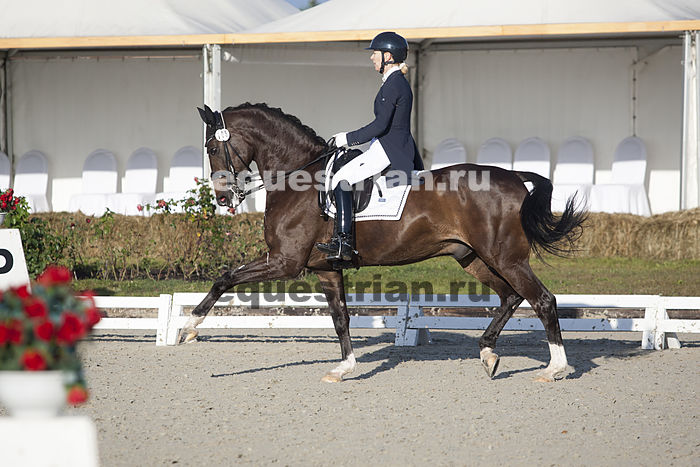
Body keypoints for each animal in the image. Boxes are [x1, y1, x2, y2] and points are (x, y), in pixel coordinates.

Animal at [181, 102, 586, 383]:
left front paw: (189, 327)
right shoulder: (324, 269)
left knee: (542, 300)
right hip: (473, 258)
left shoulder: (285, 262)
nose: (223, 199)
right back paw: (488, 354)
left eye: (211, 148)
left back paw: (554, 369)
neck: (298, 177)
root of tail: (515, 177)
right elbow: (340, 318)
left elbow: (225, 277)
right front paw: (343, 368)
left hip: (504, 257)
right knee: (511, 296)